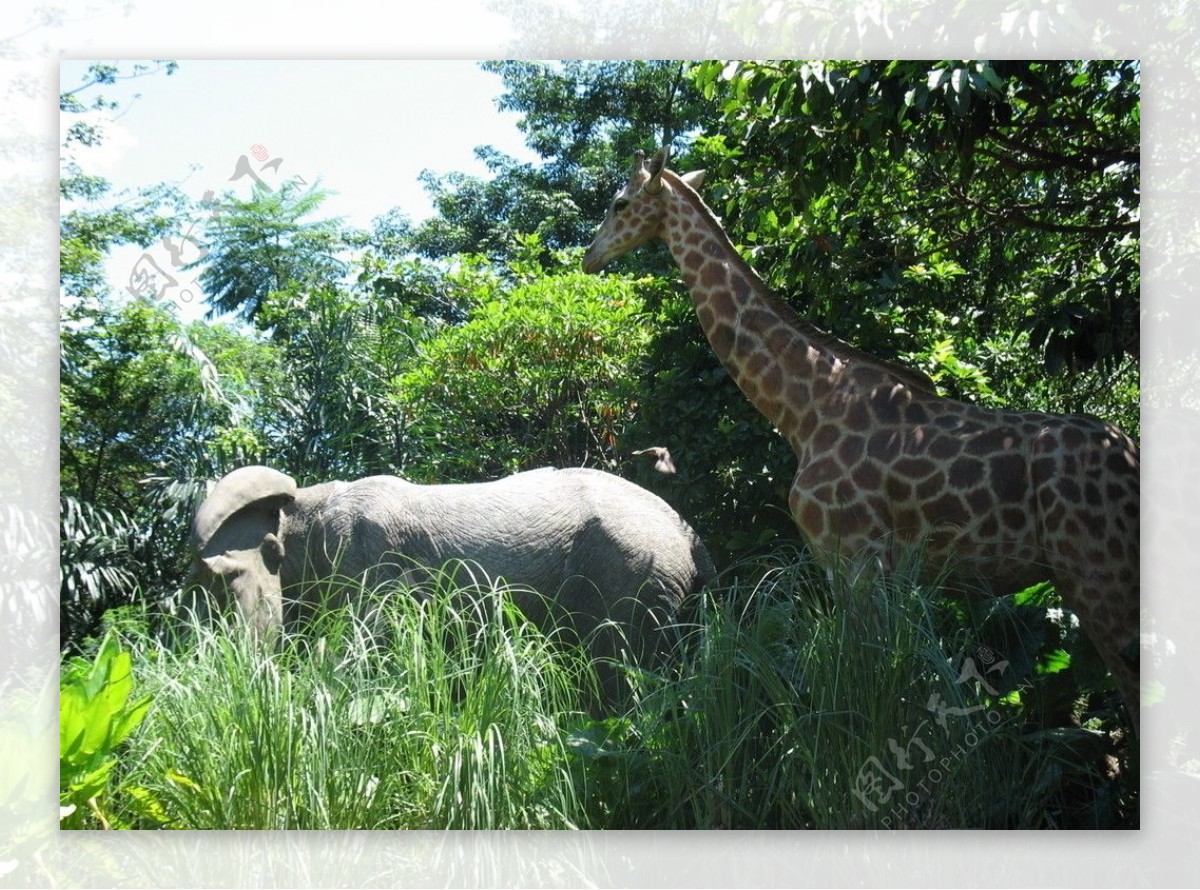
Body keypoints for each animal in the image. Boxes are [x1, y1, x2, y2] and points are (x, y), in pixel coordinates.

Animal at [585, 146, 1137, 734]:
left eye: (620, 204)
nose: (589, 257)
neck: (804, 411)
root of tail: (1132, 457)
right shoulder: (873, 569)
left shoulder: (853, 556)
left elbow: (872, 684)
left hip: (1098, 578)